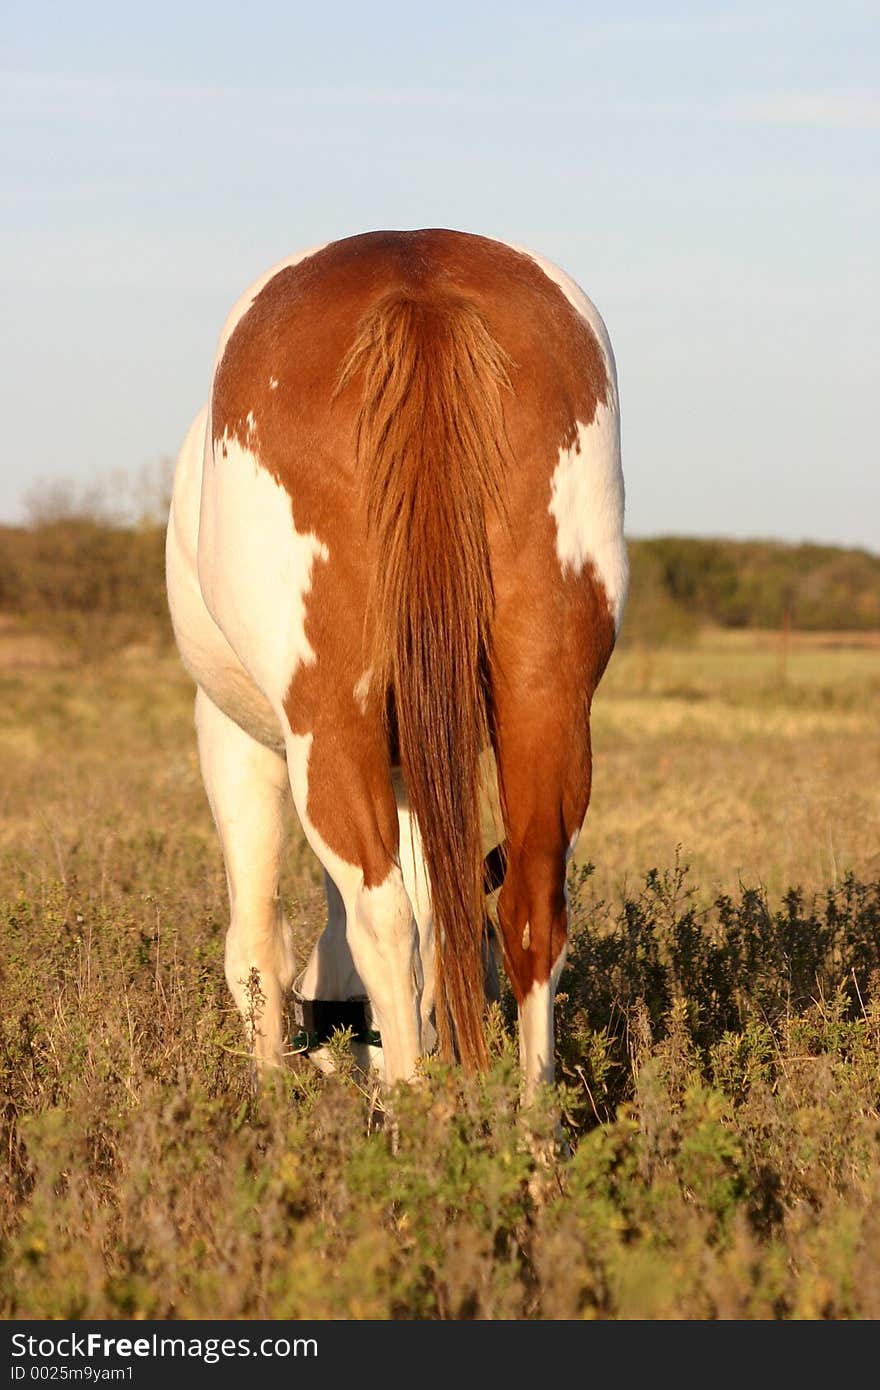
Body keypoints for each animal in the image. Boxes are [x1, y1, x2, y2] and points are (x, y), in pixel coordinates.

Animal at [164, 225, 628, 1095]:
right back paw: (529, 1126)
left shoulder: (232, 737)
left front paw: (271, 1095)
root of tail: (419, 280)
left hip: (326, 719)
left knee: (382, 919)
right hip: (544, 697)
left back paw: (412, 1113)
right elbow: (445, 913)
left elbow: (256, 945)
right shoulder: (422, 759)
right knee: (531, 908)